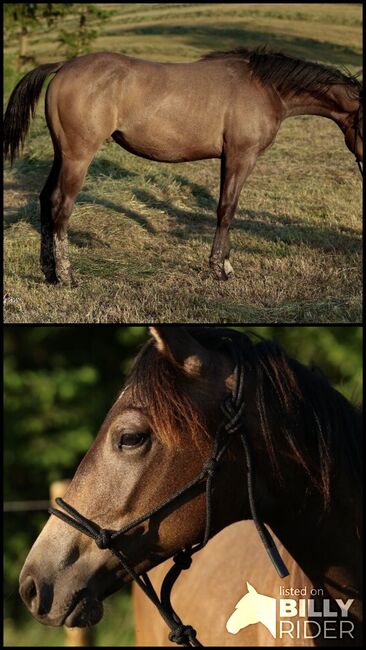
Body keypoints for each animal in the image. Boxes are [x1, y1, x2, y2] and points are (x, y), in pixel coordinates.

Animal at [2, 46, 364, 284]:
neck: (265, 87)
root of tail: (64, 66)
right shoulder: (240, 157)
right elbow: (226, 210)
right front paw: (219, 268)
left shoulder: (229, 159)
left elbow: (225, 209)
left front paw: (225, 264)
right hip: (78, 157)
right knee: (62, 207)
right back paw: (66, 276)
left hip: (62, 154)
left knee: (46, 200)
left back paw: (49, 271)